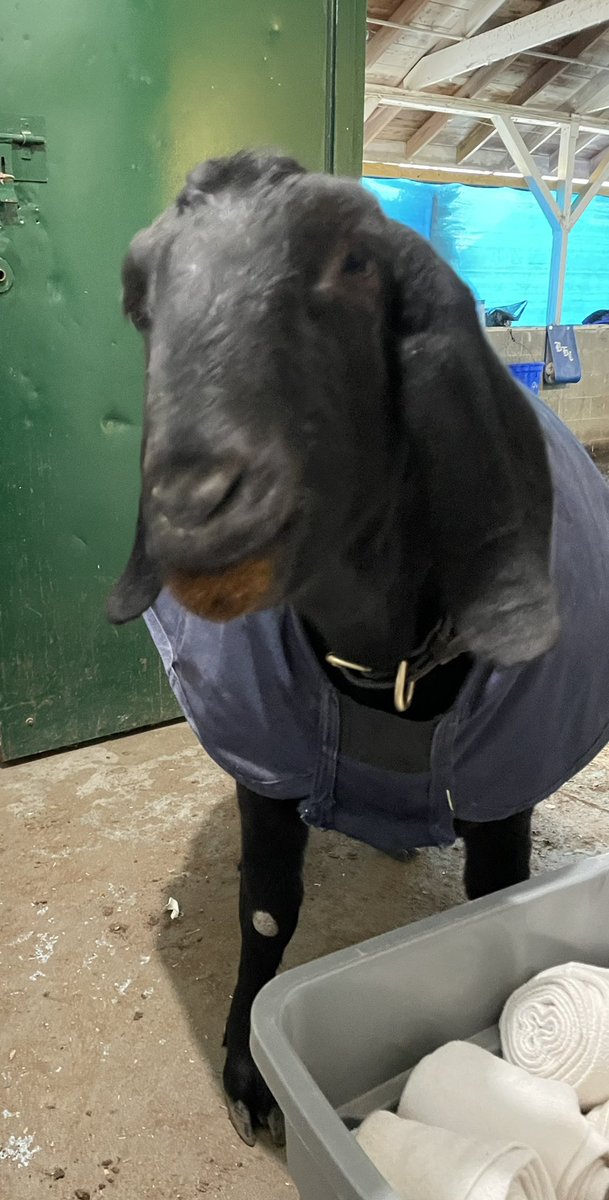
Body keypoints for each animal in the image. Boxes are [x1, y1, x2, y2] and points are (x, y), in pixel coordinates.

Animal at [107, 151, 609, 1147]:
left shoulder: (503, 788)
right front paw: (247, 1070)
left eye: (354, 261)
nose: (195, 505)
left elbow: (492, 903)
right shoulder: (266, 761)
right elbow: (267, 910)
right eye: (139, 294)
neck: (381, 661)